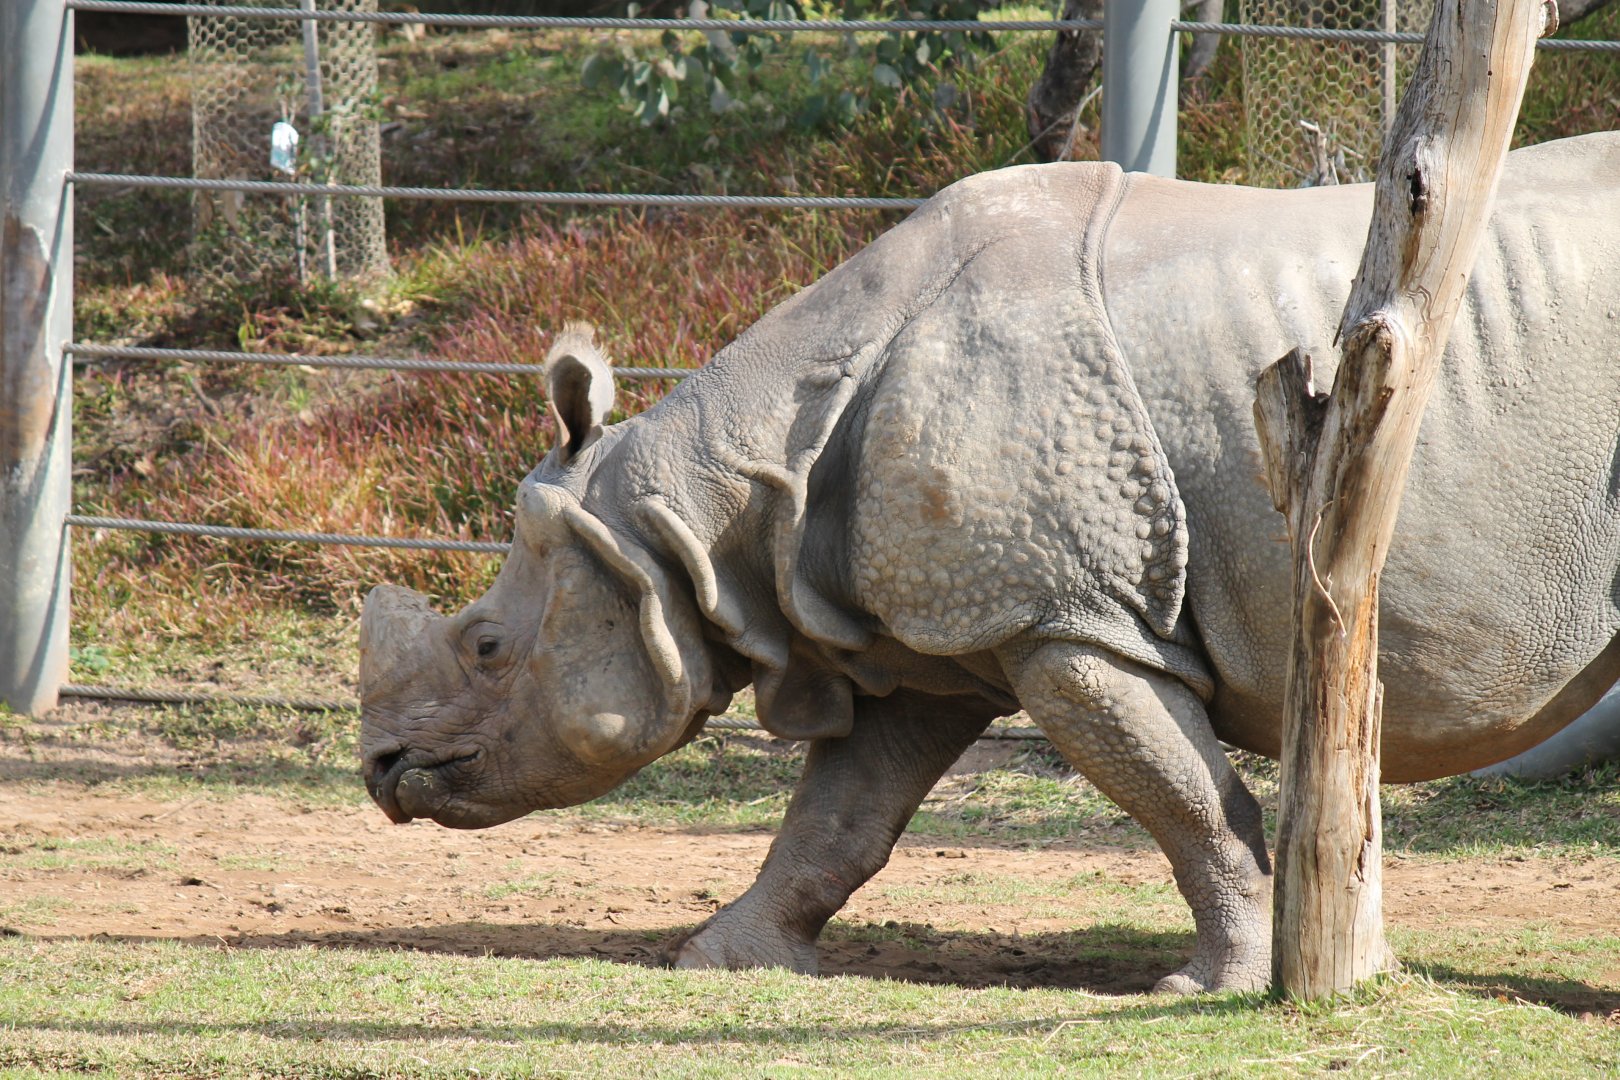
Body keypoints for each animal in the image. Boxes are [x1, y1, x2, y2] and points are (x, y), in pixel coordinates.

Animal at [359, 131, 1620, 993]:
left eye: (486, 646)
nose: (379, 771)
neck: (697, 506)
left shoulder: (1061, 616)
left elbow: (1189, 802)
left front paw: (1214, 987)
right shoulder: (935, 636)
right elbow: (839, 819)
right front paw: (720, 961)